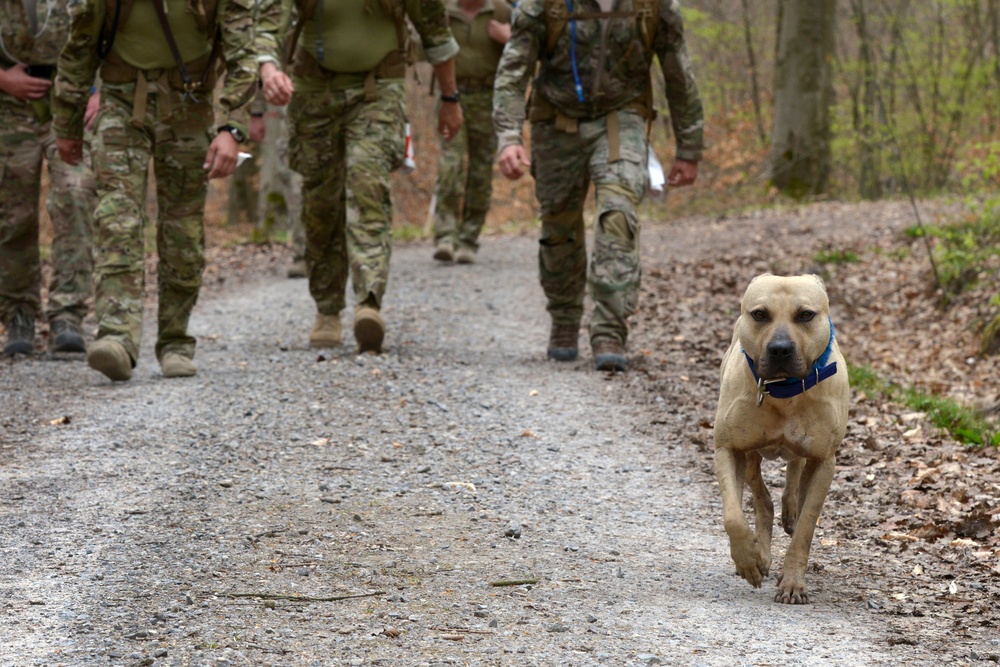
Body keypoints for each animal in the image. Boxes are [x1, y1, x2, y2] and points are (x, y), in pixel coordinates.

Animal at [716, 276, 848, 604]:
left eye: (806, 315)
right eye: (760, 314)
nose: (780, 349)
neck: (784, 391)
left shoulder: (823, 462)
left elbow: (805, 528)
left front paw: (792, 583)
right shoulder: (728, 449)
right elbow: (733, 517)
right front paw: (748, 559)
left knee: (795, 473)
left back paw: (789, 510)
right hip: (751, 455)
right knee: (762, 499)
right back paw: (760, 553)